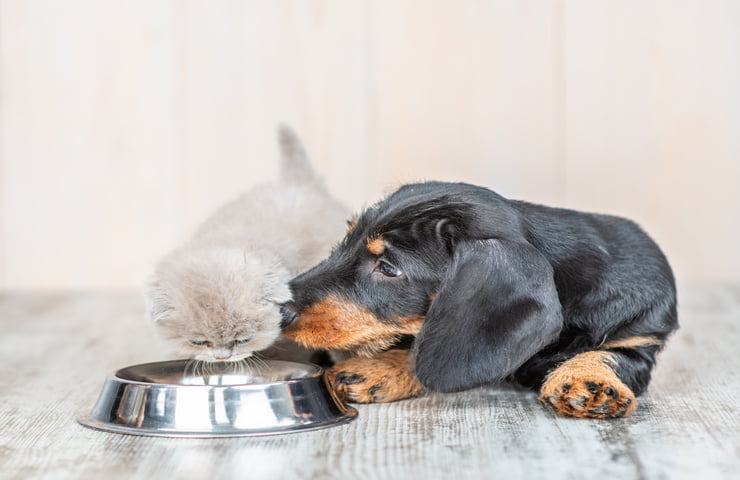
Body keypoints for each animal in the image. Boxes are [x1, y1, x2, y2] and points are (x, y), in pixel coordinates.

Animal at [280, 182, 680, 418]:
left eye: (388, 268)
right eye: (346, 240)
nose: (281, 309)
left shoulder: (642, 336)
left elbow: (612, 354)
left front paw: (588, 380)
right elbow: (420, 344)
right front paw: (379, 368)